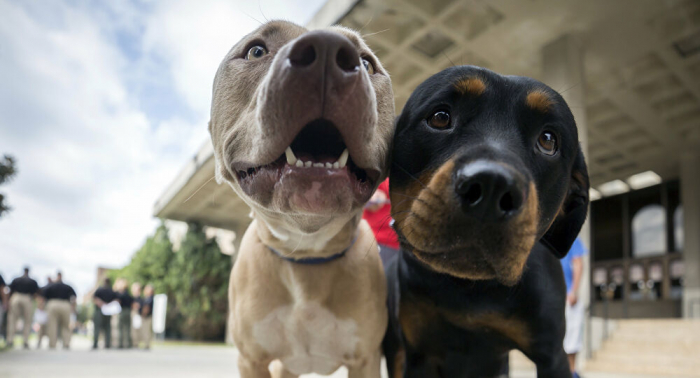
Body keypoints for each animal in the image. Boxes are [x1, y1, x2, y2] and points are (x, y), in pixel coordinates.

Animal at [206, 21, 394, 378]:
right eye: (256, 50)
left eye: (366, 64)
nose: (326, 50)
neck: (305, 253)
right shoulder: (251, 360)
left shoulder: (366, 359)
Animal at [382, 65, 592, 378]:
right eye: (440, 117)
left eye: (548, 140)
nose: (492, 187)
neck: (471, 290)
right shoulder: (418, 354)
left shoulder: (552, 355)